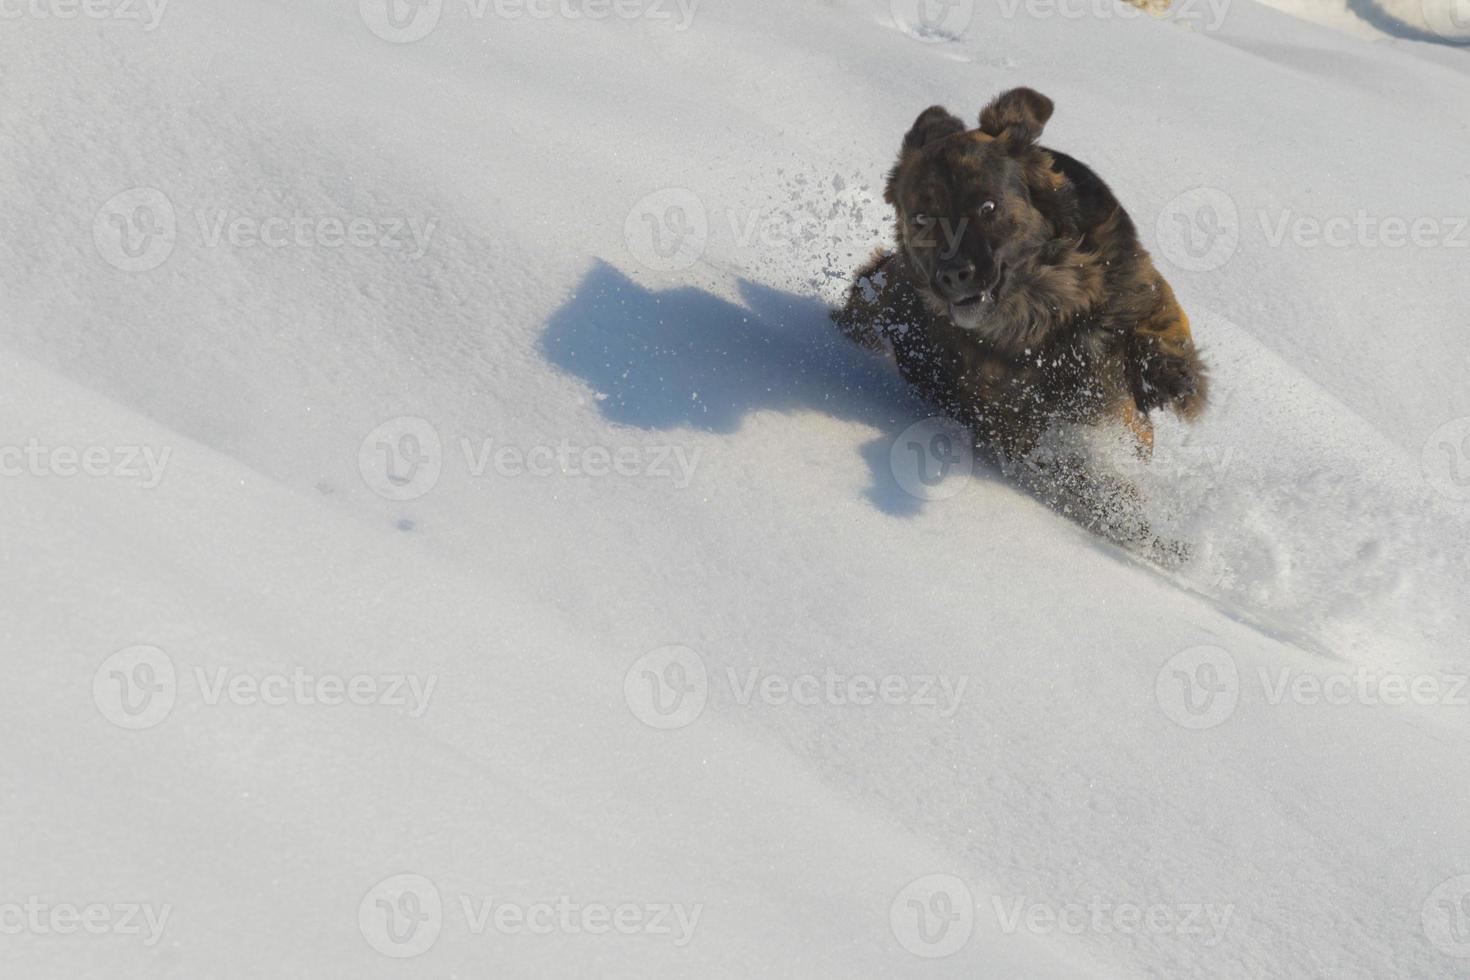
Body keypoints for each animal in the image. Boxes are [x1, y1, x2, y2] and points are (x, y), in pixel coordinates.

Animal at [840, 86, 1205, 481]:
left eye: (987, 206)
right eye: (922, 219)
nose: (953, 274)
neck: (1045, 307)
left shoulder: (1134, 281)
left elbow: (1160, 319)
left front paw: (1169, 376)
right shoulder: (1015, 425)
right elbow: (1068, 464)